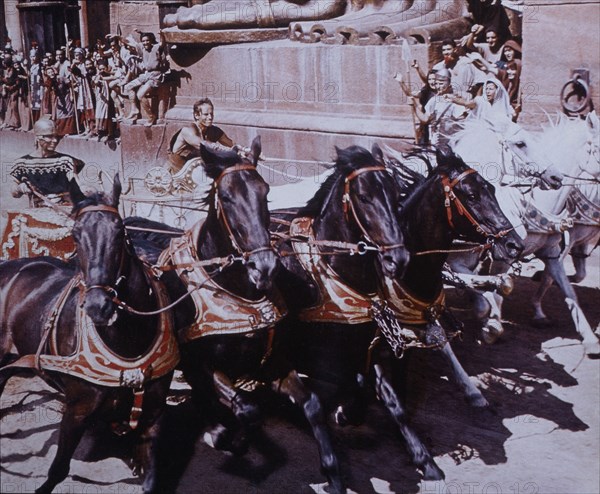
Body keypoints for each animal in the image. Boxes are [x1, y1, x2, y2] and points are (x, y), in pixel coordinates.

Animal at [0, 178, 178, 494]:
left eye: (120, 231)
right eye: (75, 234)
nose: (98, 306)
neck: (128, 342)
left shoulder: (154, 413)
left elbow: (150, 479)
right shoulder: (77, 411)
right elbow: (57, 470)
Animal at [128, 138, 346, 494]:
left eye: (265, 192)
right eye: (227, 198)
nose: (265, 266)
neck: (237, 295)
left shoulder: (272, 363)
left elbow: (311, 404)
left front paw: (332, 471)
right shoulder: (202, 366)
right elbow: (246, 408)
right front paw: (226, 438)